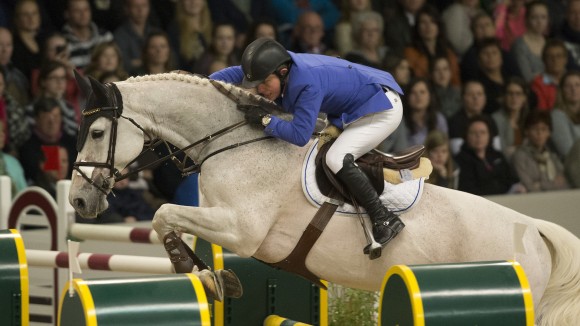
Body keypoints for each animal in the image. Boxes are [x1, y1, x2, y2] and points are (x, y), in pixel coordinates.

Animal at [69, 74, 580, 326]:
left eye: (96, 132)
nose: (77, 202)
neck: (232, 143)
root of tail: (535, 229)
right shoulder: (221, 221)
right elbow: (168, 218)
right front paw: (211, 275)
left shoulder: (240, 228)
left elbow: (162, 212)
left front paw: (194, 269)